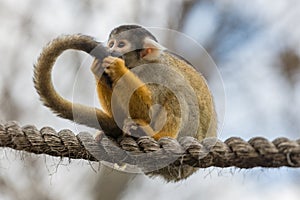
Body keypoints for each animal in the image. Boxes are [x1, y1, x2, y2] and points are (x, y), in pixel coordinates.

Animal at [34, 25, 217, 181]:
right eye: (111, 44)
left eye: (121, 44)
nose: (111, 50)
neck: (139, 65)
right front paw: (98, 69)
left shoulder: (156, 71)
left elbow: (149, 109)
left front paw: (117, 67)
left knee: (177, 93)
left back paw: (153, 135)